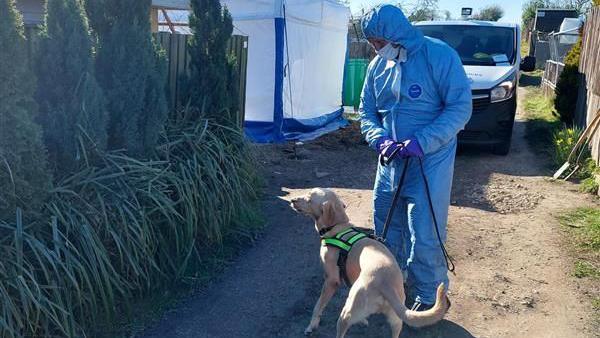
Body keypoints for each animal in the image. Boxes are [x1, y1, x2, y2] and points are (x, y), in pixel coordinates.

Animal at [288, 189, 448, 336]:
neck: (339, 227)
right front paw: (363, 320)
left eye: (309, 198)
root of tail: (385, 282)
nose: (292, 200)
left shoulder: (331, 281)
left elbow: (318, 306)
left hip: (346, 314)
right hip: (396, 320)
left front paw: (312, 325)